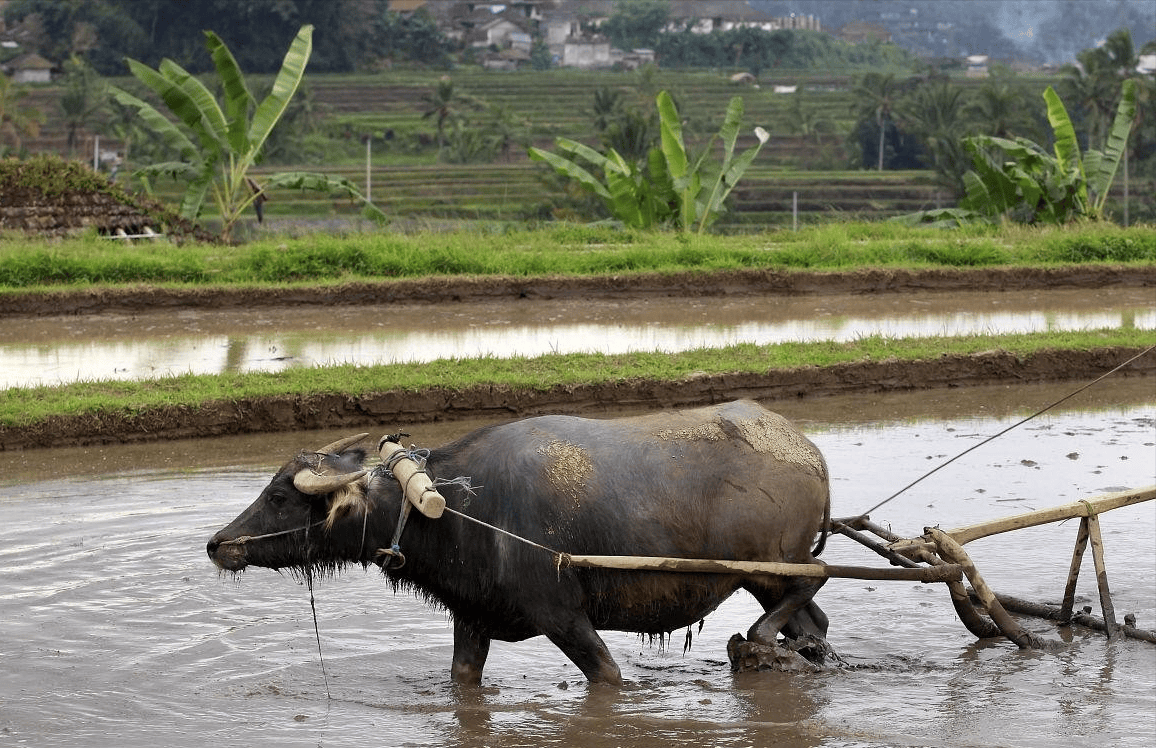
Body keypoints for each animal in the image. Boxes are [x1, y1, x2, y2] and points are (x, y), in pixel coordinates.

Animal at [208, 400, 832, 689]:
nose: (218, 544)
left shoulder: (564, 616)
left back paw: (759, 641)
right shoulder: (472, 617)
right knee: (814, 619)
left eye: (281, 496)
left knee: (813, 584)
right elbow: (463, 680)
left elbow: (608, 676)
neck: (462, 509)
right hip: (763, 575)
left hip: (773, 564)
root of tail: (810, 454)